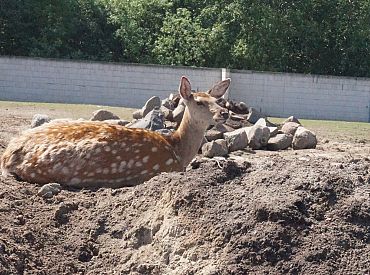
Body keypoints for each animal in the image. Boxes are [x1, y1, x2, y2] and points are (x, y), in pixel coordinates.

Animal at [0, 76, 231, 189]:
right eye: (199, 102)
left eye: (217, 100)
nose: (225, 112)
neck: (177, 149)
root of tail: (6, 156)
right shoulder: (166, 168)